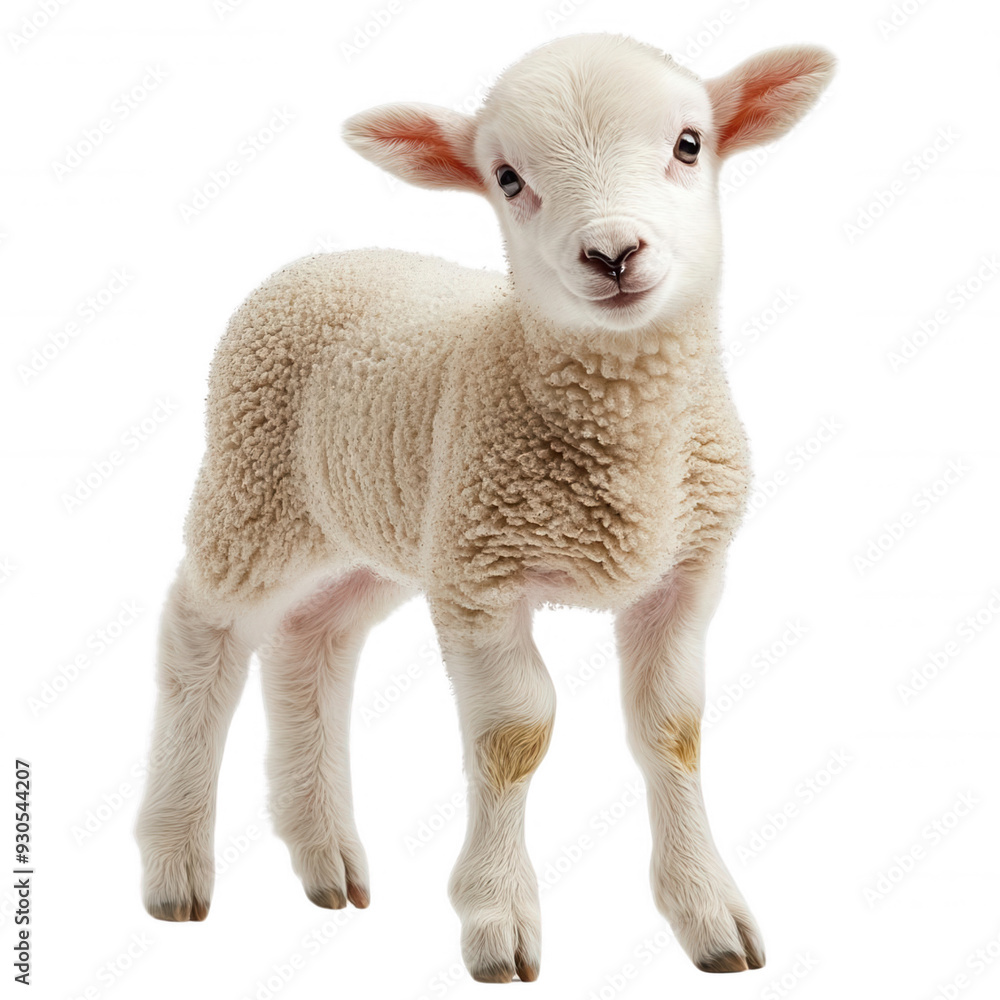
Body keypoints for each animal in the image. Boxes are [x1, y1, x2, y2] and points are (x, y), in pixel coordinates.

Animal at [135, 32, 834, 982]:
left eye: (690, 144)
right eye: (507, 177)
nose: (612, 253)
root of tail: (321, 261)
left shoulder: (685, 574)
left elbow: (672, 730)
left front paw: (707, 911)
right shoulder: (480, 580)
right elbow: (515, 736)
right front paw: (498, 918)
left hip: (380, 531)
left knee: (311, 642)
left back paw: (325, 859)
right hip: (255, 493)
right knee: (198, 634)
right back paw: (174, 862)